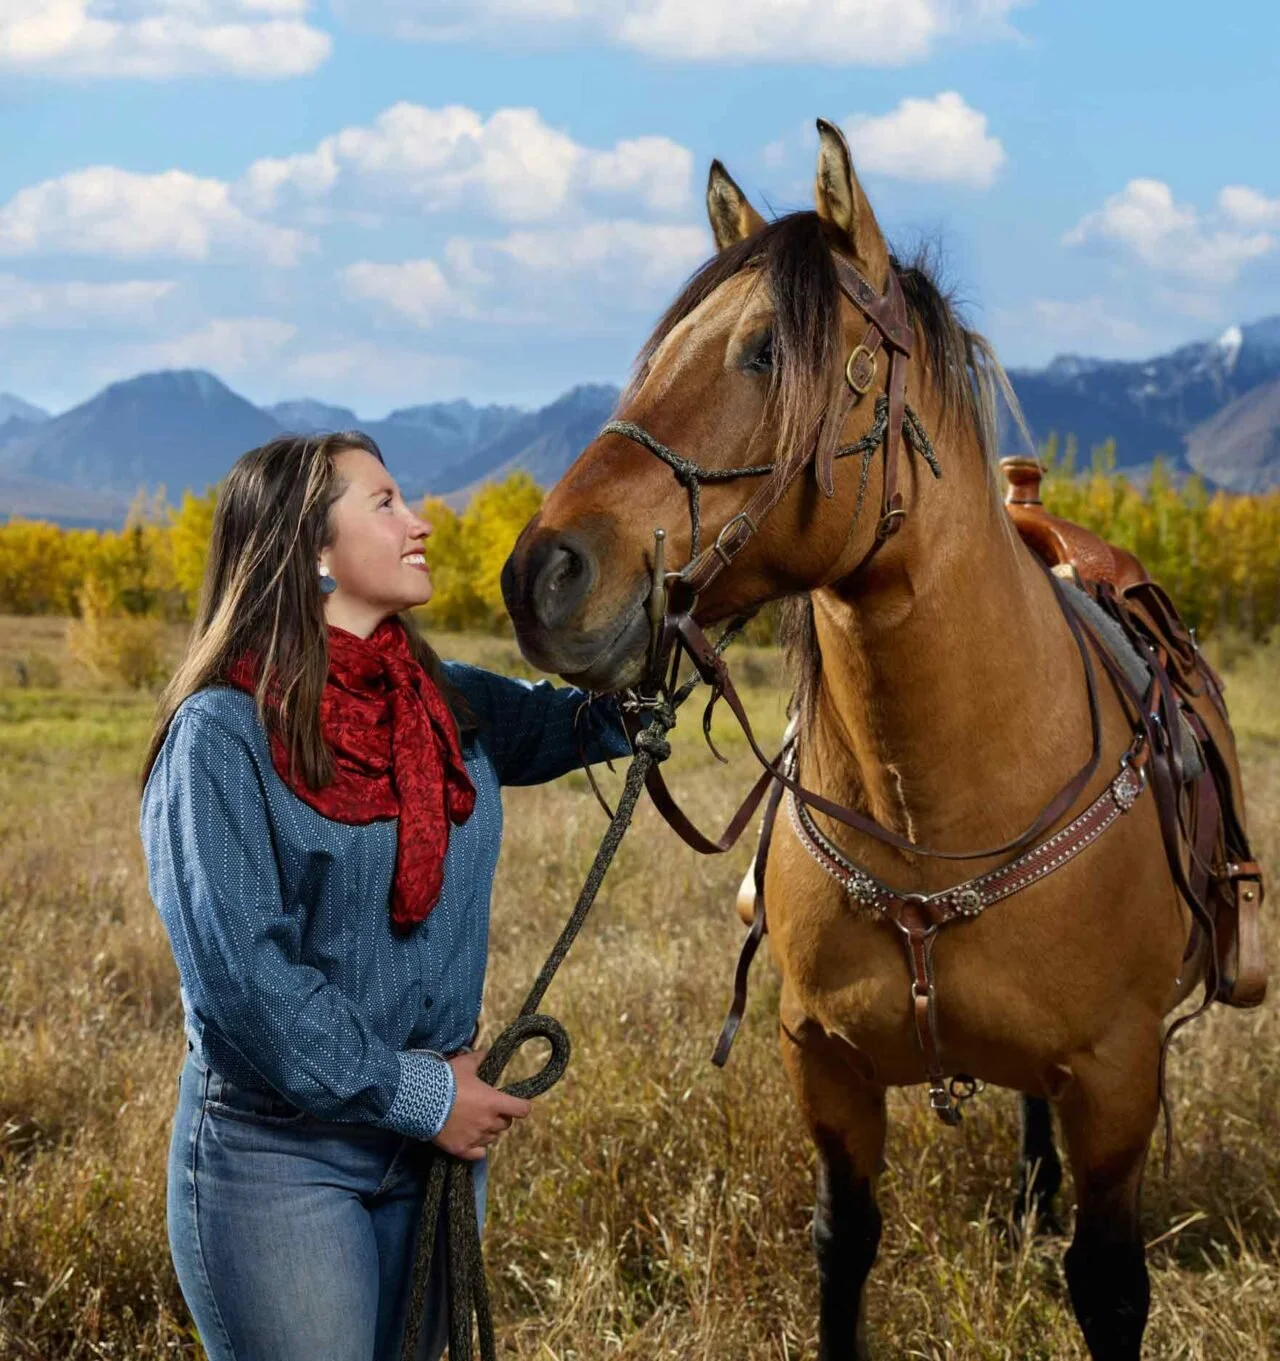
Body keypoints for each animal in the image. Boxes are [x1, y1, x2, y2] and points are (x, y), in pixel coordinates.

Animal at [499, 120, 1266, 1359]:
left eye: (765, 350)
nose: (541, 574)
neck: (934, 809)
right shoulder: (823, 1064)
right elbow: (841, 1248)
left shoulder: (1115, 1079)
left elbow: (1105, 1284)